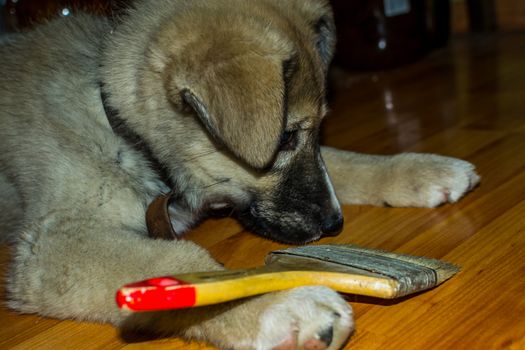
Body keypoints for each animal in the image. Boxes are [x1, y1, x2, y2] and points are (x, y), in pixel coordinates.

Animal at [0, 1, 478, 348]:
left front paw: (417, 169)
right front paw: (280, 303)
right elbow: (173, 261)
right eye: (284, 138)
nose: (334, 223)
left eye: (308, 132)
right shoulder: (57, 244)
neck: (122, 125)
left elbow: (342, 160)